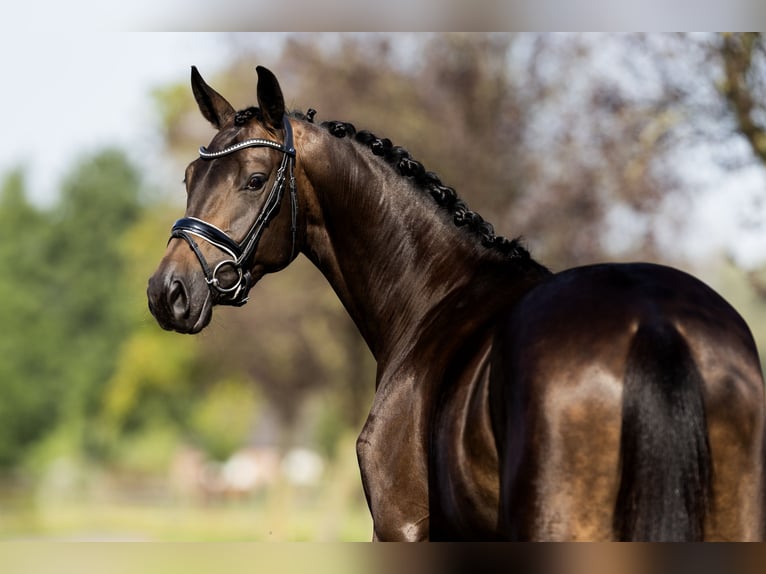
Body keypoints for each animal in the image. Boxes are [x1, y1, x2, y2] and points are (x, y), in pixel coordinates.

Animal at [148, 65, 766, 544]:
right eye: (190, 176)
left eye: (254, 180)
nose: (167, 292)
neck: (434, 294)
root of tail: (654, 322)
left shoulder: (402, 527)